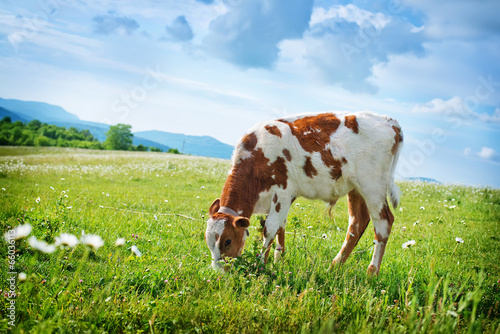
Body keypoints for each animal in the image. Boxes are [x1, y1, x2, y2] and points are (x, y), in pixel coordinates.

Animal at [205, 111, 404, 276]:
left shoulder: (282, 192)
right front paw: (279, 259)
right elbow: (280, 227)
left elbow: (269, 229)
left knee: (383, 222)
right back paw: (334, 267)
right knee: (357, 222)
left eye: (227, 241)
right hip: (355, 188)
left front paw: (260, 265)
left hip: (372, 186)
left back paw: (372, 273)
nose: (219, 272)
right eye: (208, 241)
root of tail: (390, 121)